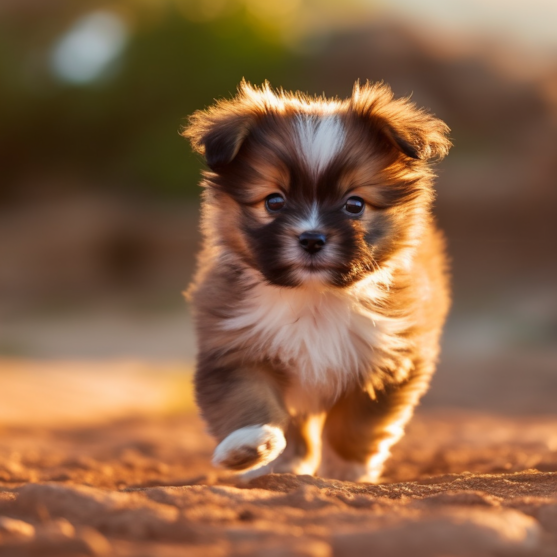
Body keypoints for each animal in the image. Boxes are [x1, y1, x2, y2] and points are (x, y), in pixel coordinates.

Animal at [182, 79, 452, 482]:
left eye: (354, 205)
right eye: (274, 201)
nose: (311, 239)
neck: (314, 298)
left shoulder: (389, 358)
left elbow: (355, 425)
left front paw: (348, 471)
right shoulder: (235, 348)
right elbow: (246, 402)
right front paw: (251, 447)